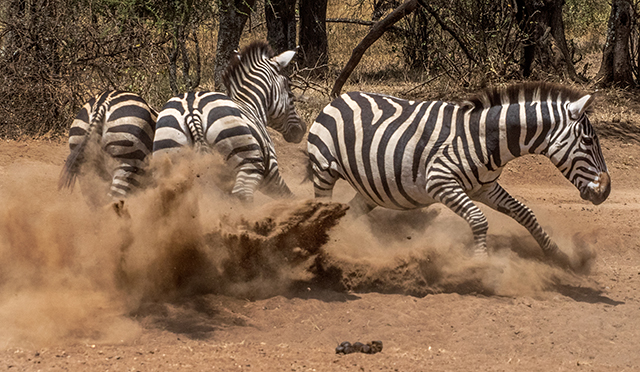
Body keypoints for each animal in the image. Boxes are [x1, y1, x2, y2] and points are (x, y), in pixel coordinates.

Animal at [152, 41, 308, 202]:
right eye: (290, 92)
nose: (302, 129)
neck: (251, 104)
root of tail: (191, 111)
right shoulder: (271, 172)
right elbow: (288, 196)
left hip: (169, 155)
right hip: (248, 161)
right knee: (242, 194)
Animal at [308, 82, 612, 268]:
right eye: (588, 141)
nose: (606, 191)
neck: (485, 139)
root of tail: (341, 97)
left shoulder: (486, 188)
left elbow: (525, 214)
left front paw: (558, 255)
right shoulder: (440, 182)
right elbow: (478, 220)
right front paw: (480, 265)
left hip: (372, 189)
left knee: (350, 213)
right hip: (324, 170)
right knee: (324, 207)